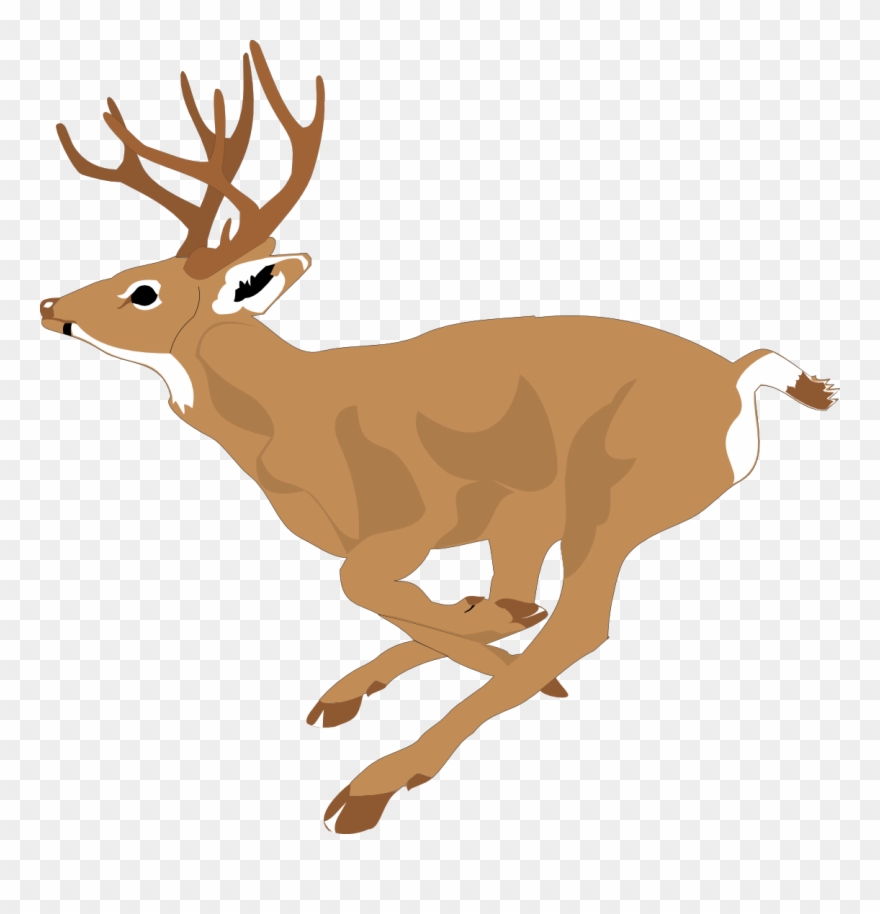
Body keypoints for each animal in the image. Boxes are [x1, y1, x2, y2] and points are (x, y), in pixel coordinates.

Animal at [40, 41, 838, 834]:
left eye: (145, 291)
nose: (49, 305)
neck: (289, 416)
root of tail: (736, 379)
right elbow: (437, 602)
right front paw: (449, 628)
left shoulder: (419, 512)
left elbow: (364, 582)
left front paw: (456, 644)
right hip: (539, 512)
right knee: (526, 606)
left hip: (614, 493)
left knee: (577, 624)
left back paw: (377, 782)